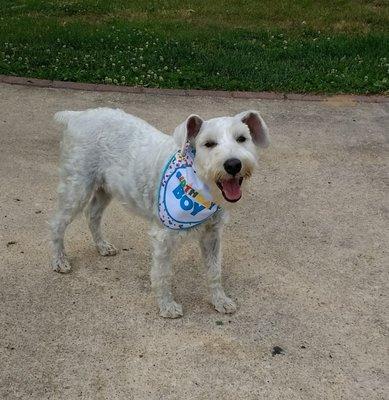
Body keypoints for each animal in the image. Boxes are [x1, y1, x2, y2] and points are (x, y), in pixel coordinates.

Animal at [50, 107, 268, 318]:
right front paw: (167, 307)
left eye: (241, 138)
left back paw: (102, 246)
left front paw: (220, 301)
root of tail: (77, 116)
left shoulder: (212, 235)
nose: (233, 164)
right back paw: (59, 261)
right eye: (209, 144)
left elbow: (214, 270)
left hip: (105, 189)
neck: (199, 185)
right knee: (57, 224)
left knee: (92, 215)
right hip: (77, 188)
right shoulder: (162, 237)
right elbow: (162, 274)